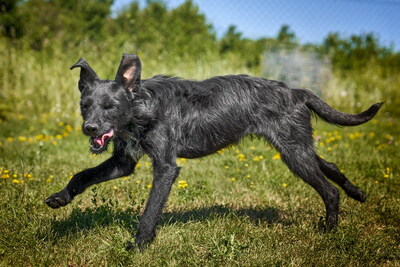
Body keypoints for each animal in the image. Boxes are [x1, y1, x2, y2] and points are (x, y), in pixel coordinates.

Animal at [45, 53, 382, 250]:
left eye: (110, 106)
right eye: (85, 105)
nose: (89, 129)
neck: (141, 107)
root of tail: (297, 91)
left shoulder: (166, 167)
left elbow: (150, 210)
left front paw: (139, 246)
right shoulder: (122, 162)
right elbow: (82, 175)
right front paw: (61, 197)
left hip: (294, 154)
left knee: (328, 190)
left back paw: (330, 230)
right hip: (298, 147)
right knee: (331, 165)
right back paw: (357, 193)